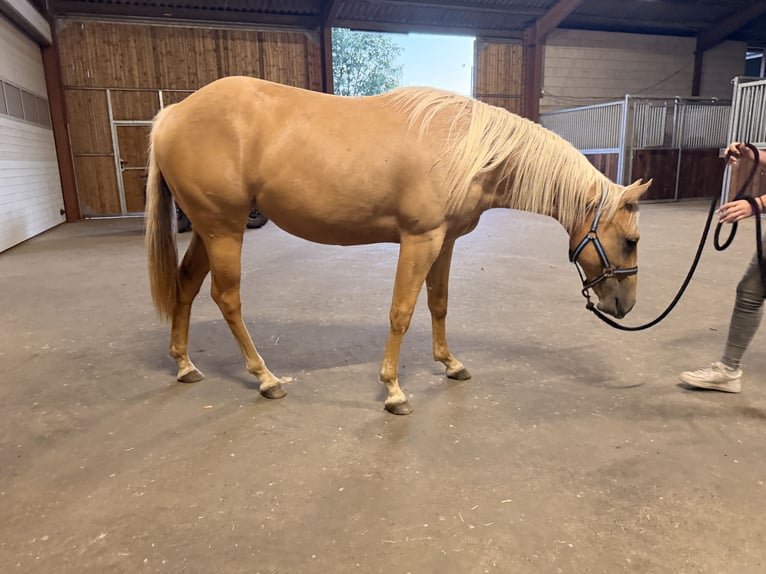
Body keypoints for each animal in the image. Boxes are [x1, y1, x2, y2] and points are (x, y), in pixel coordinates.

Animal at [145, 76, 650, 415]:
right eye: (630, 241)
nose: (625, 305)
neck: (466, 149)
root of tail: (172, 115)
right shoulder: (419, 240)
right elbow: (401, 312)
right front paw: (393, 390)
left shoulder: (444, 242)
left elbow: (438, 303)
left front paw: (450, 363)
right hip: (224, 229)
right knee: (226, 298)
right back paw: (265, 378)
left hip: (210, 231)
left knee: (186, 286)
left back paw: (184, 364)